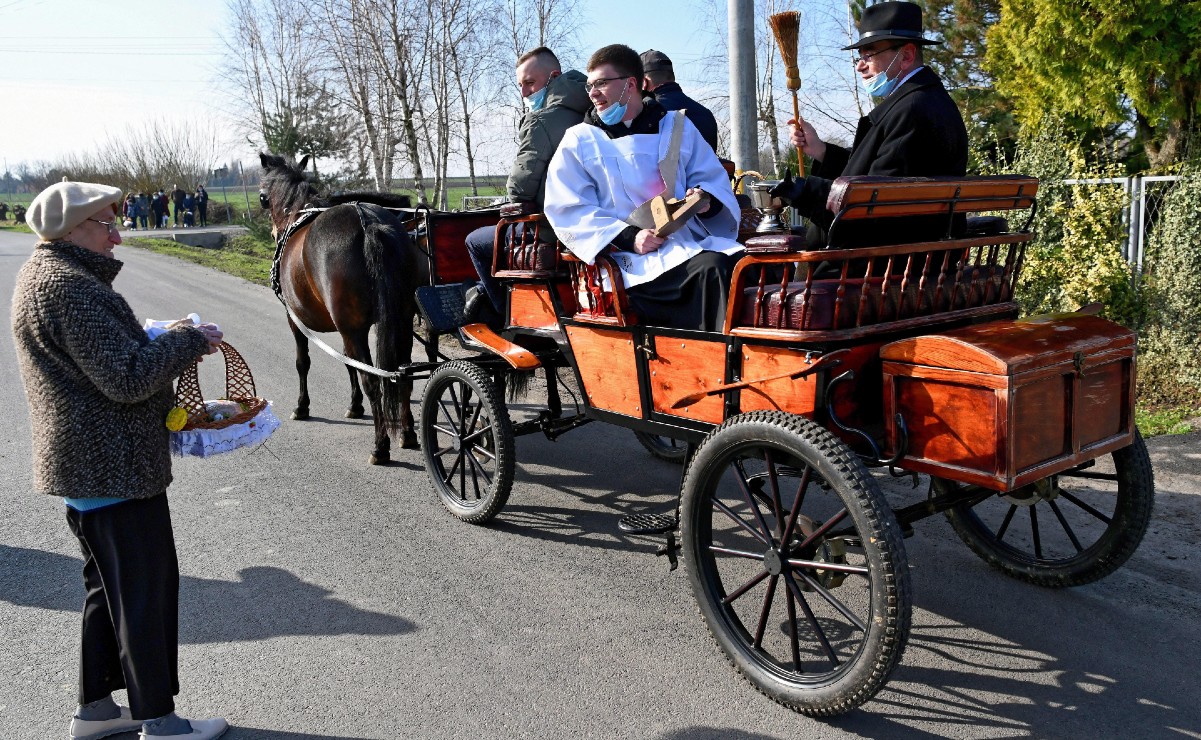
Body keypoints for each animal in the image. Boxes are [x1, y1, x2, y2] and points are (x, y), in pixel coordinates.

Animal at [261, 151, 427, 461]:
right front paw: (354, 405)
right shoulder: (346, 326)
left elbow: (303, 362)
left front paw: (302, 406)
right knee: (402, 376)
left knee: (373, 380)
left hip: (354, 328)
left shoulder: (295, 319)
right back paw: (408, 433)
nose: (274, 233)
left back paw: (380, 445)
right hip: (399, 320)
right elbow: (349, 363)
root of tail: (367, 221)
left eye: (263, 197)